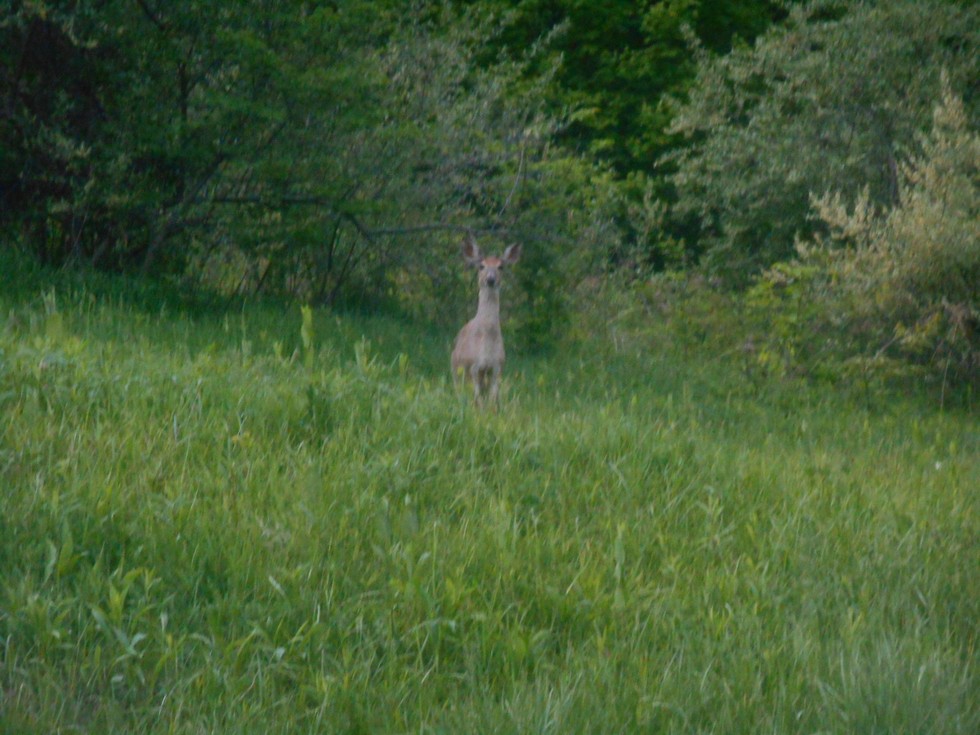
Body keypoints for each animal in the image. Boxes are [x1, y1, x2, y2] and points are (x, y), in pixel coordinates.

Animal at [451, 234, 522, 408]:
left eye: (501, 267)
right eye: (481, 266)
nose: (490, 279)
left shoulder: (497, 367)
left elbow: (492, 401)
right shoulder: (473, 367)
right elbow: (478, 401)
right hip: (456, 369)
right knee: (460, 390)